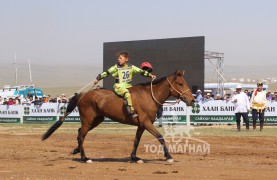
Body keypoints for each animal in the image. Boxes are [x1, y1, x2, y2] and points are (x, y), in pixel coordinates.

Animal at [42, 69, 194, 164]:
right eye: (180, 83)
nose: (192, 100)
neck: (149, 96)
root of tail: (83, 94)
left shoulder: (141, 125)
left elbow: (136, 141)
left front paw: (134, 158)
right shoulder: (146, 123)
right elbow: (160, 137)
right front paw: (168, 156)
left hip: (96, 120)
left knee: (80, 133)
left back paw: (76, 150)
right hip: (88, 121)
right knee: (81, 136)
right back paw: (85, 158)